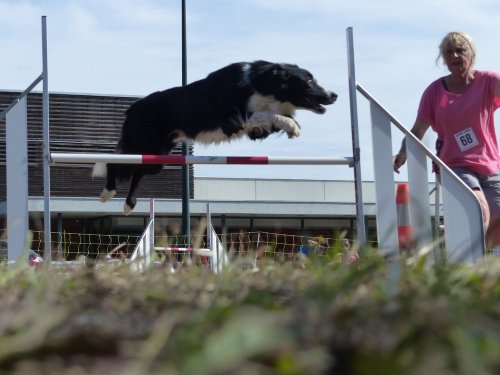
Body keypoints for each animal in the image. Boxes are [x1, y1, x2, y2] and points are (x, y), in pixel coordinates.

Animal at [92, 61, 338, 214]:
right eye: (308, 81)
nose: (334, 95)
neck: (261, 84)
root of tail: (133, 108)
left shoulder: (252, 127)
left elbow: (268, 118)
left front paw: (289, 123)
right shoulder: (234, 119)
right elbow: (265, 113)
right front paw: (291, 125)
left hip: (157, 157)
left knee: (137, 172)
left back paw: (129, 205)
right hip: (142, 144)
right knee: (115, 162)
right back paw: (107, 193)